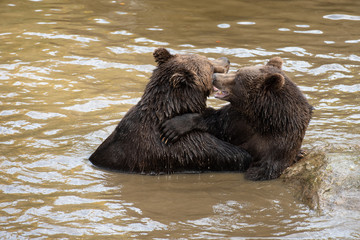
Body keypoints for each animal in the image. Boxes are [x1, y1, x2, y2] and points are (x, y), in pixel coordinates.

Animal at [160, 56, 312, 180]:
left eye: (237, 79)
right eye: (238, 71)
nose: (214, 76)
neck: (261, 117)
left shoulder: (280, 143)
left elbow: (264, 169)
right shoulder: (237, 119)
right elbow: (216, 122)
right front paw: (173, 126)